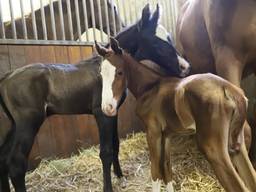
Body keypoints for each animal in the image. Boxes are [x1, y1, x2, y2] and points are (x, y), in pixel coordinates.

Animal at [95, 38, 256, 192]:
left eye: (120, 72)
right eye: (101, 74)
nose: (107, 108)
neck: (149, 87)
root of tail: (228, 89)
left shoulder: (153, 132)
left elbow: (155, 172)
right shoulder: (166, 135)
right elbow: (167, 170)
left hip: (214, 149)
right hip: (236, 145)